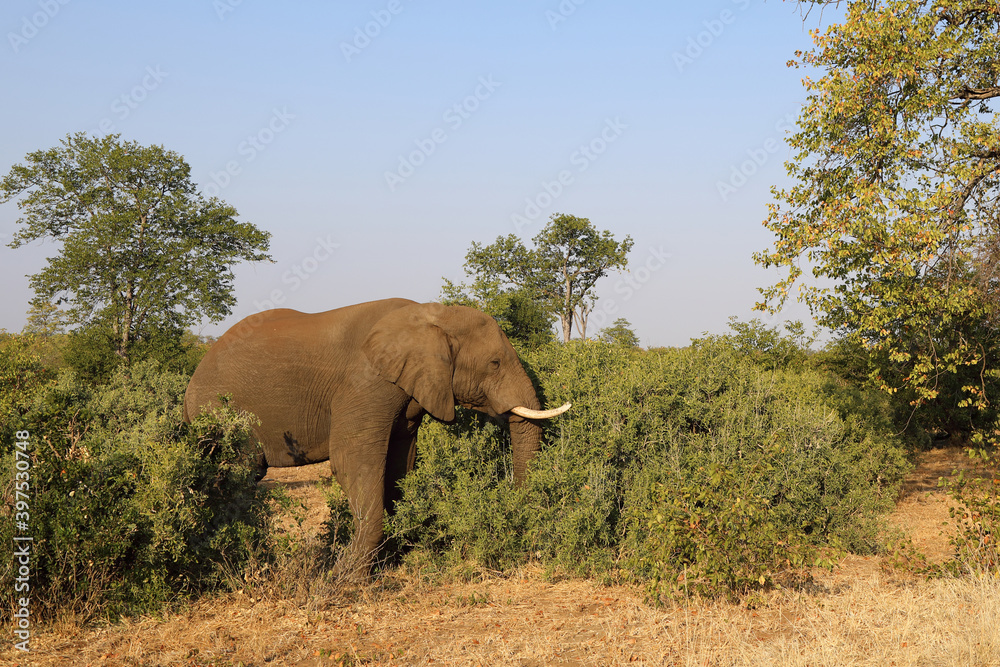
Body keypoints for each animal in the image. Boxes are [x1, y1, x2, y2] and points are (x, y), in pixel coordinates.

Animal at [183, 298, 569, 576]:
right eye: (494, 363)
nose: (532, 545)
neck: (434, 315)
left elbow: (400, 463)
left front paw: (396, 558)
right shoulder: (366, 382)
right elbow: (352, 461)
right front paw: (346, 578)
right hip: (220, 409)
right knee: (239, 476)